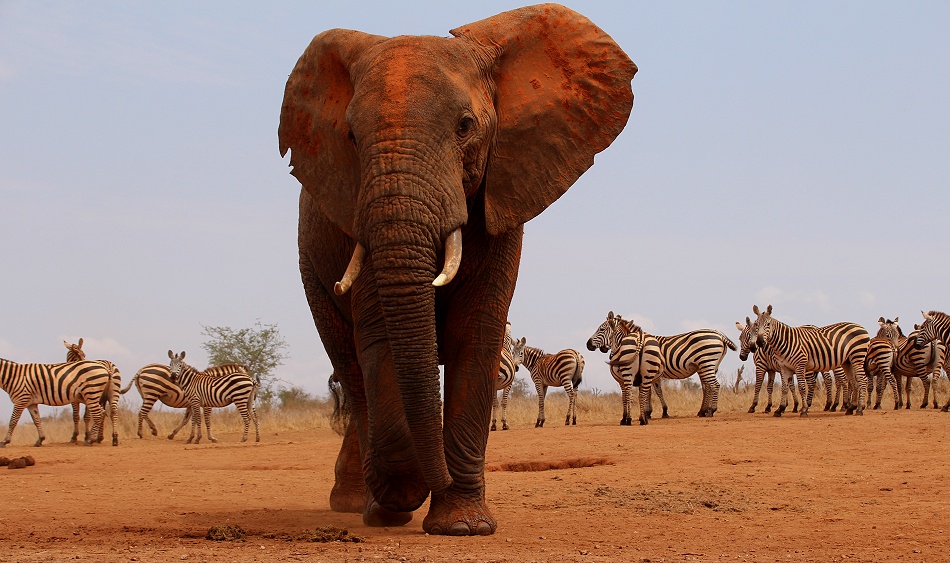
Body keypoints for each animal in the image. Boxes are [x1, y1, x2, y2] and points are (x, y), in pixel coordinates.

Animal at [279, 4, 636, 535]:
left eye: (465, 126)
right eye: (351, 137)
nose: (439, 480)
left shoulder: (505, 190)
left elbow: (477, 333)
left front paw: (463, 524)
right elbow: (379, 337)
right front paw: (401, 496)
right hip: (312, 269)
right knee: (351, 371)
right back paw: (363, 504)